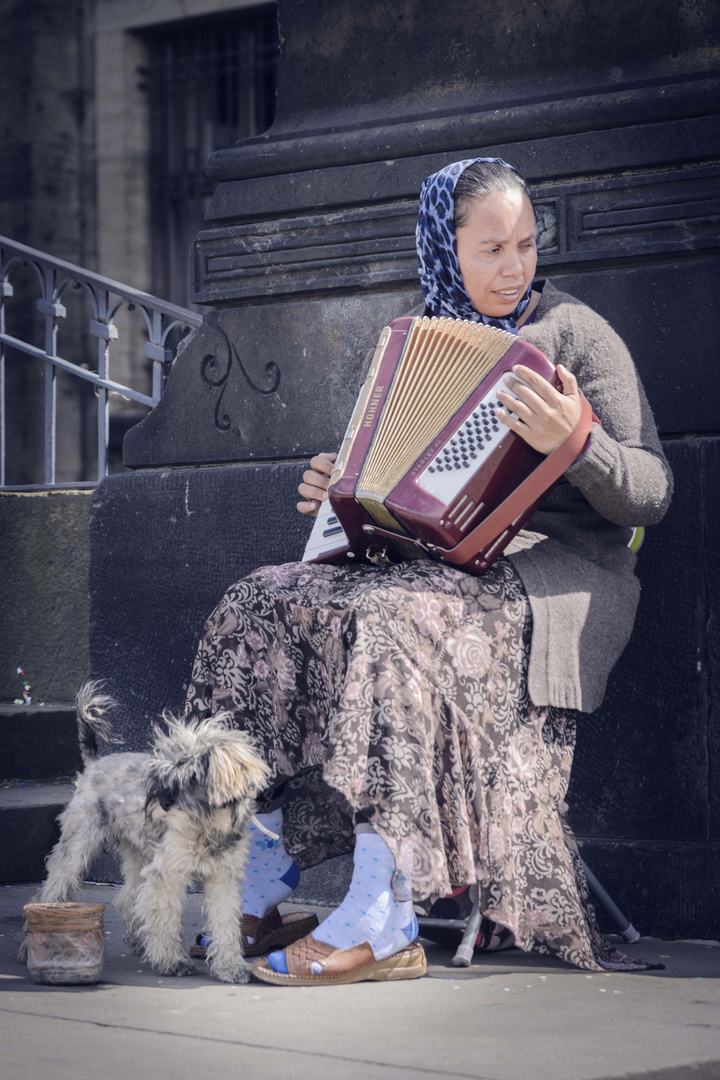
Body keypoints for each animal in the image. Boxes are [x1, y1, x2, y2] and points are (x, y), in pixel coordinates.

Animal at [20, 686, 273, 984]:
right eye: (165, 773)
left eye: (192, 776)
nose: (162, 803)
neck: (207, 827)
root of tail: (94, 764)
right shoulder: (167, 876)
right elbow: (166, 918)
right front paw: (172, 961)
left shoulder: (223, 879)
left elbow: (226, 924)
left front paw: (230, 966)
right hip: (76, 849)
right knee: (49, 892)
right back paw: (31, 945)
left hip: (139, 855)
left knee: (128, 898)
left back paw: (138, 939)